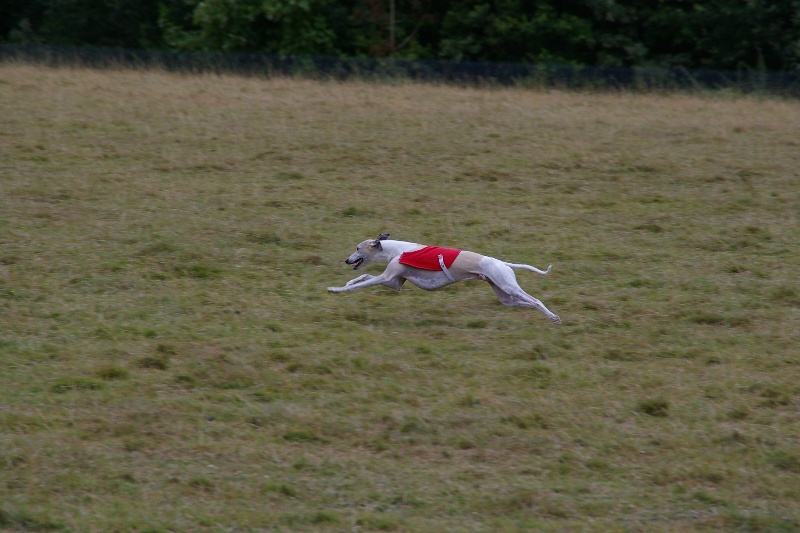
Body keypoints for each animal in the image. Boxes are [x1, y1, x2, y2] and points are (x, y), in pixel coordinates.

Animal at [326, 234, 564, 324]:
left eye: (358, 248)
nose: (347, 260)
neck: (396, 250)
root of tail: (502, 263)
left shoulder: (387, 277)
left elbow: (364, 282)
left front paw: (336, 289)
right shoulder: (394, 282)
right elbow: (364, 276)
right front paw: (348, 282)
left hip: (506, 284)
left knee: (535, 300)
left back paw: (553, 316)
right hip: (504, 295)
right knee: (523, 303)